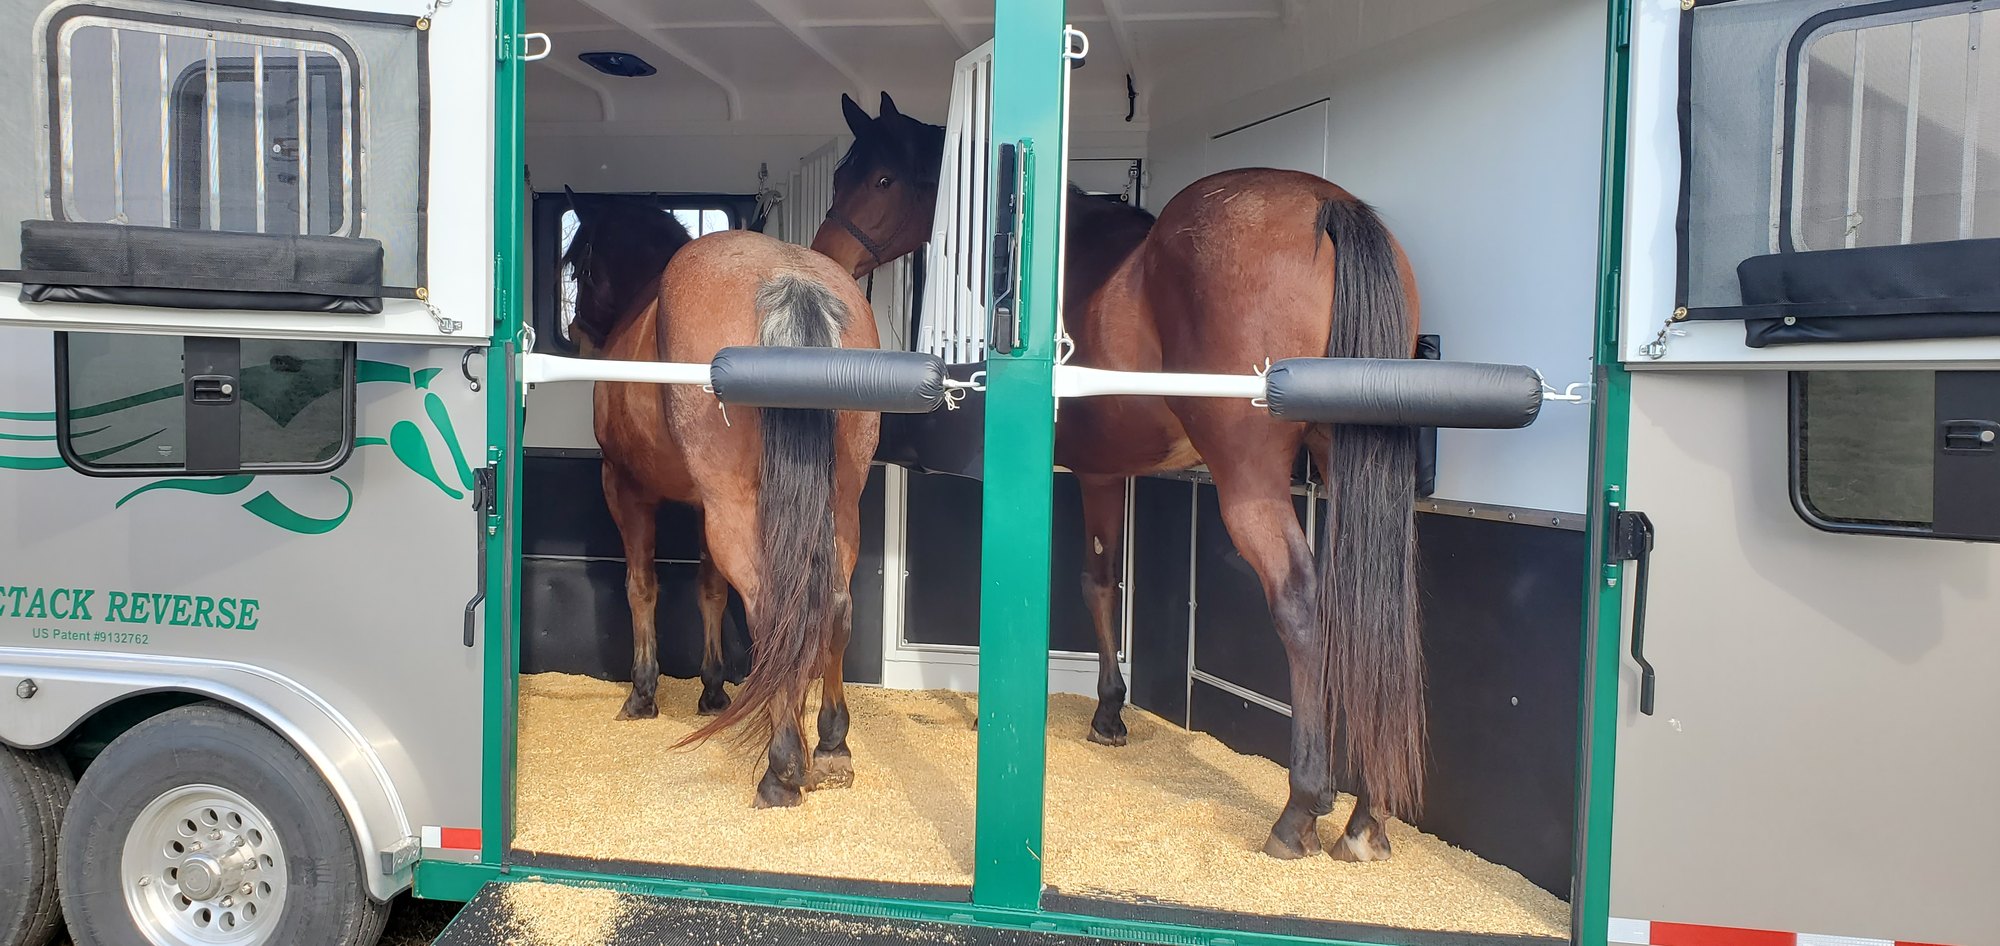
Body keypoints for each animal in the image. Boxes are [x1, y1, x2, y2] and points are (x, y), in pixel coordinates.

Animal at [565, 191, 882, 807]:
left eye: (581, 266)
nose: (577, 331)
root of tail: (789, 279)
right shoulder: (700, 505)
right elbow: (709, 590)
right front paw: (712, 691)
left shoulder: (626, 488)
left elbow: (642, 587)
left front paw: (642, 693)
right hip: (841, 507)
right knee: (833, 606)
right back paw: (833, 749)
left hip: (735, 509)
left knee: (772, 609)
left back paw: (783, 770)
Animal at [813, 93, 1424, 863]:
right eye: (843, 173)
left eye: (883, 178)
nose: (825, 260)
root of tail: (1325, 206)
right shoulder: (1106, 473)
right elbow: (1101, 580)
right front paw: (1108, 713)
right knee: (1373, 606)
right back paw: (1367, 817)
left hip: (1250, 482)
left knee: (1301, 604)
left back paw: (1300, 810)